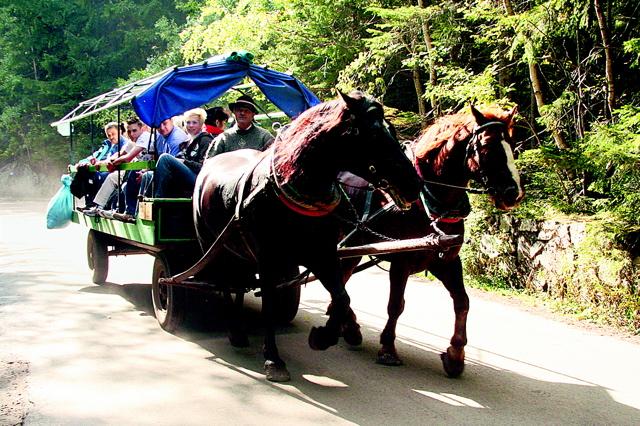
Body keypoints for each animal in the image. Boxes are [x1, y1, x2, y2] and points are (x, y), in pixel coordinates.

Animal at [192, 90, 423, 382]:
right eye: (371, 133)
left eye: (390, 128)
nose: (414, 184)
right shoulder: (268, 260)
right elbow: (269, 305)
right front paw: (273, 359)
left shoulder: (322, 254)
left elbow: (342, 297)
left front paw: (323, 337)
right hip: (212, 247)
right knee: (223, 284)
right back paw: (234, 331)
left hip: (239, 252)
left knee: (237, 283)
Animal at [334, 104, 523, 378]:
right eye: (488, 145)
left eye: (511, 143)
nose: (514, 194)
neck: (428, 201)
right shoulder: (401, 261)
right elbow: (396, 305)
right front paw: (388, 348)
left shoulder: (445, 260)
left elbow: (462, 302)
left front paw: (455, 354)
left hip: (352, 247)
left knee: (341, 279)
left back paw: (346, 325)